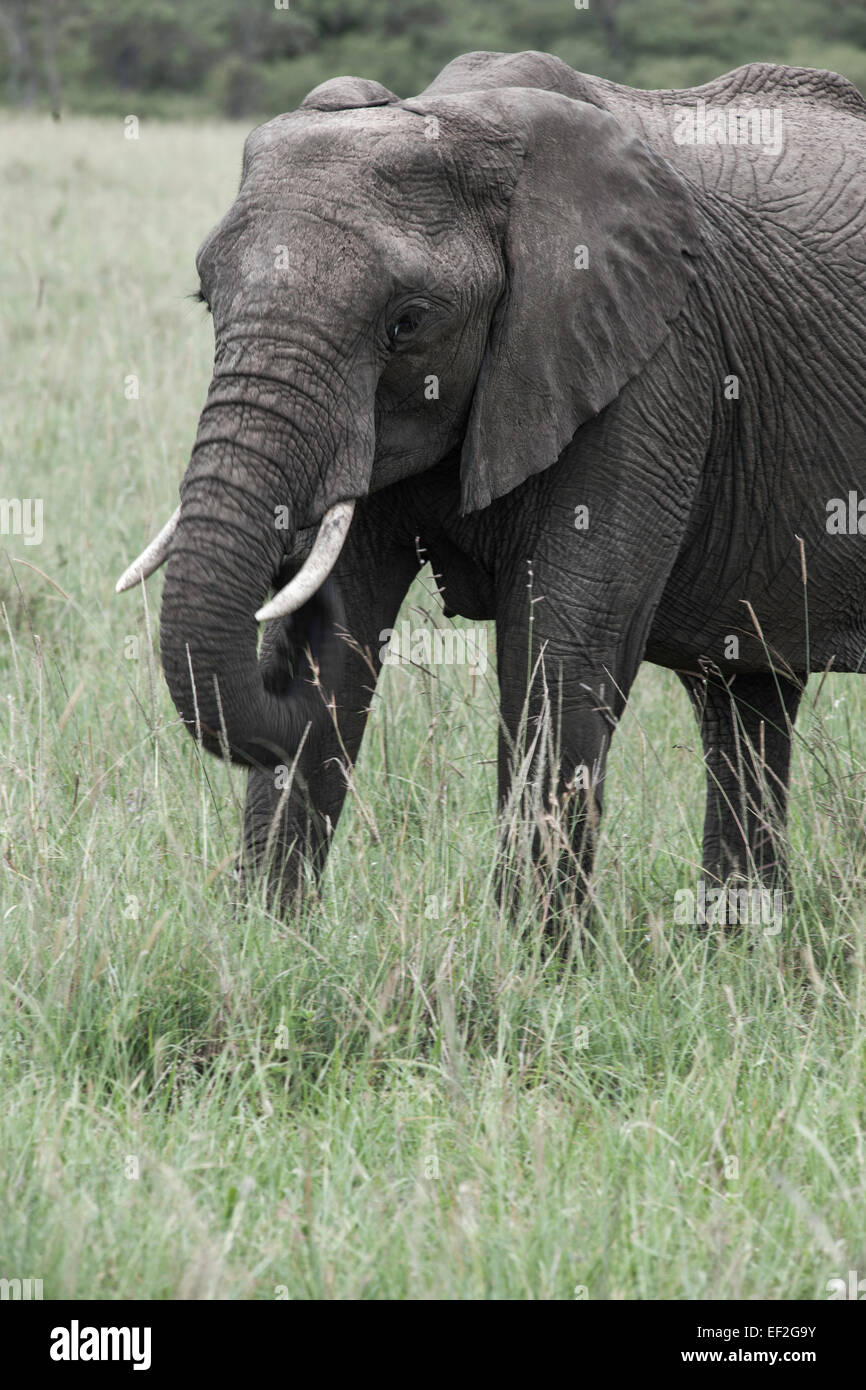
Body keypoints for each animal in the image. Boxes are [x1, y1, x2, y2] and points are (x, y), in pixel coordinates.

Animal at [116, 51, 866, 922]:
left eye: (407, 321)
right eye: (207, 299)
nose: (287, 574)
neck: (461, 120)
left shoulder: (652, 363)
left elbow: (560, 655)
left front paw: (533, 955)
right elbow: (346, 648)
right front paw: (269, 939)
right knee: (746, 697)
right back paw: (738, 943)